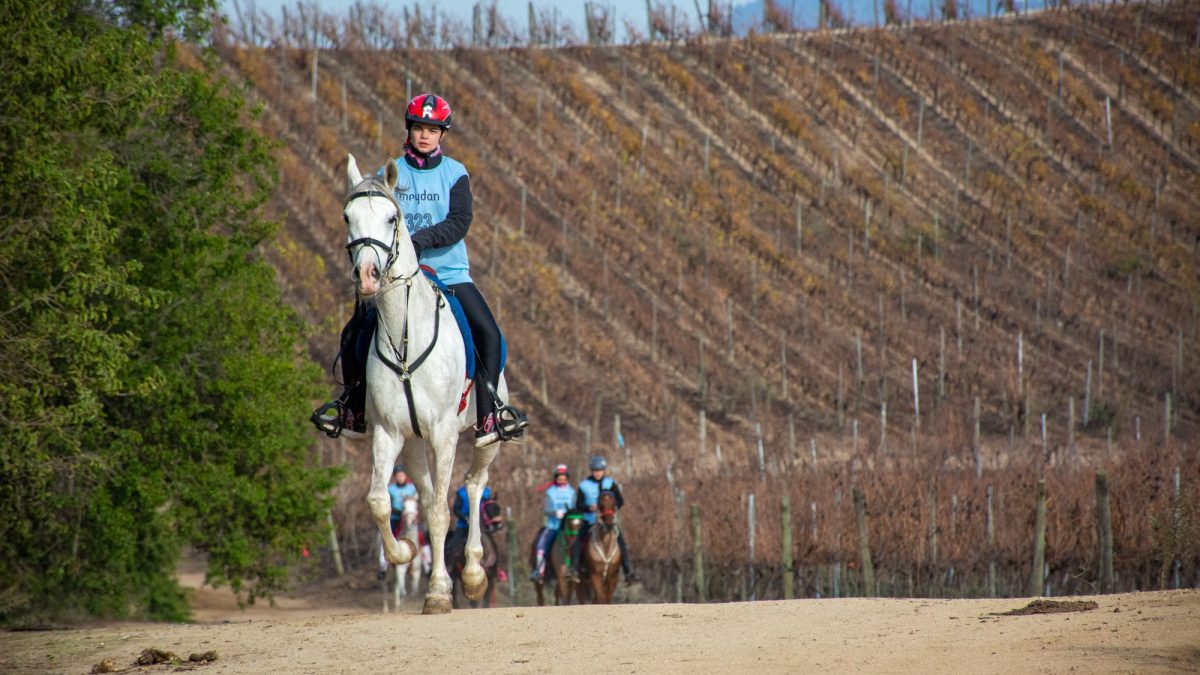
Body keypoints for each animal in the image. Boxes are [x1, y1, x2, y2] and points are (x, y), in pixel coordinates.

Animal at [343, 153, 506, 614]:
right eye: (348, 217)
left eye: (392, 217)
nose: (367, 275)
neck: (404, 335)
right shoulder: (387, 432)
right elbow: (379, 500)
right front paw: (404, 553)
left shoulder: (444, 433)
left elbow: (440, 512)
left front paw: (438, 593)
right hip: (414, 444)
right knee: (430, 491)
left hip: (485, 438)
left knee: (472, 484)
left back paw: (472, 575)